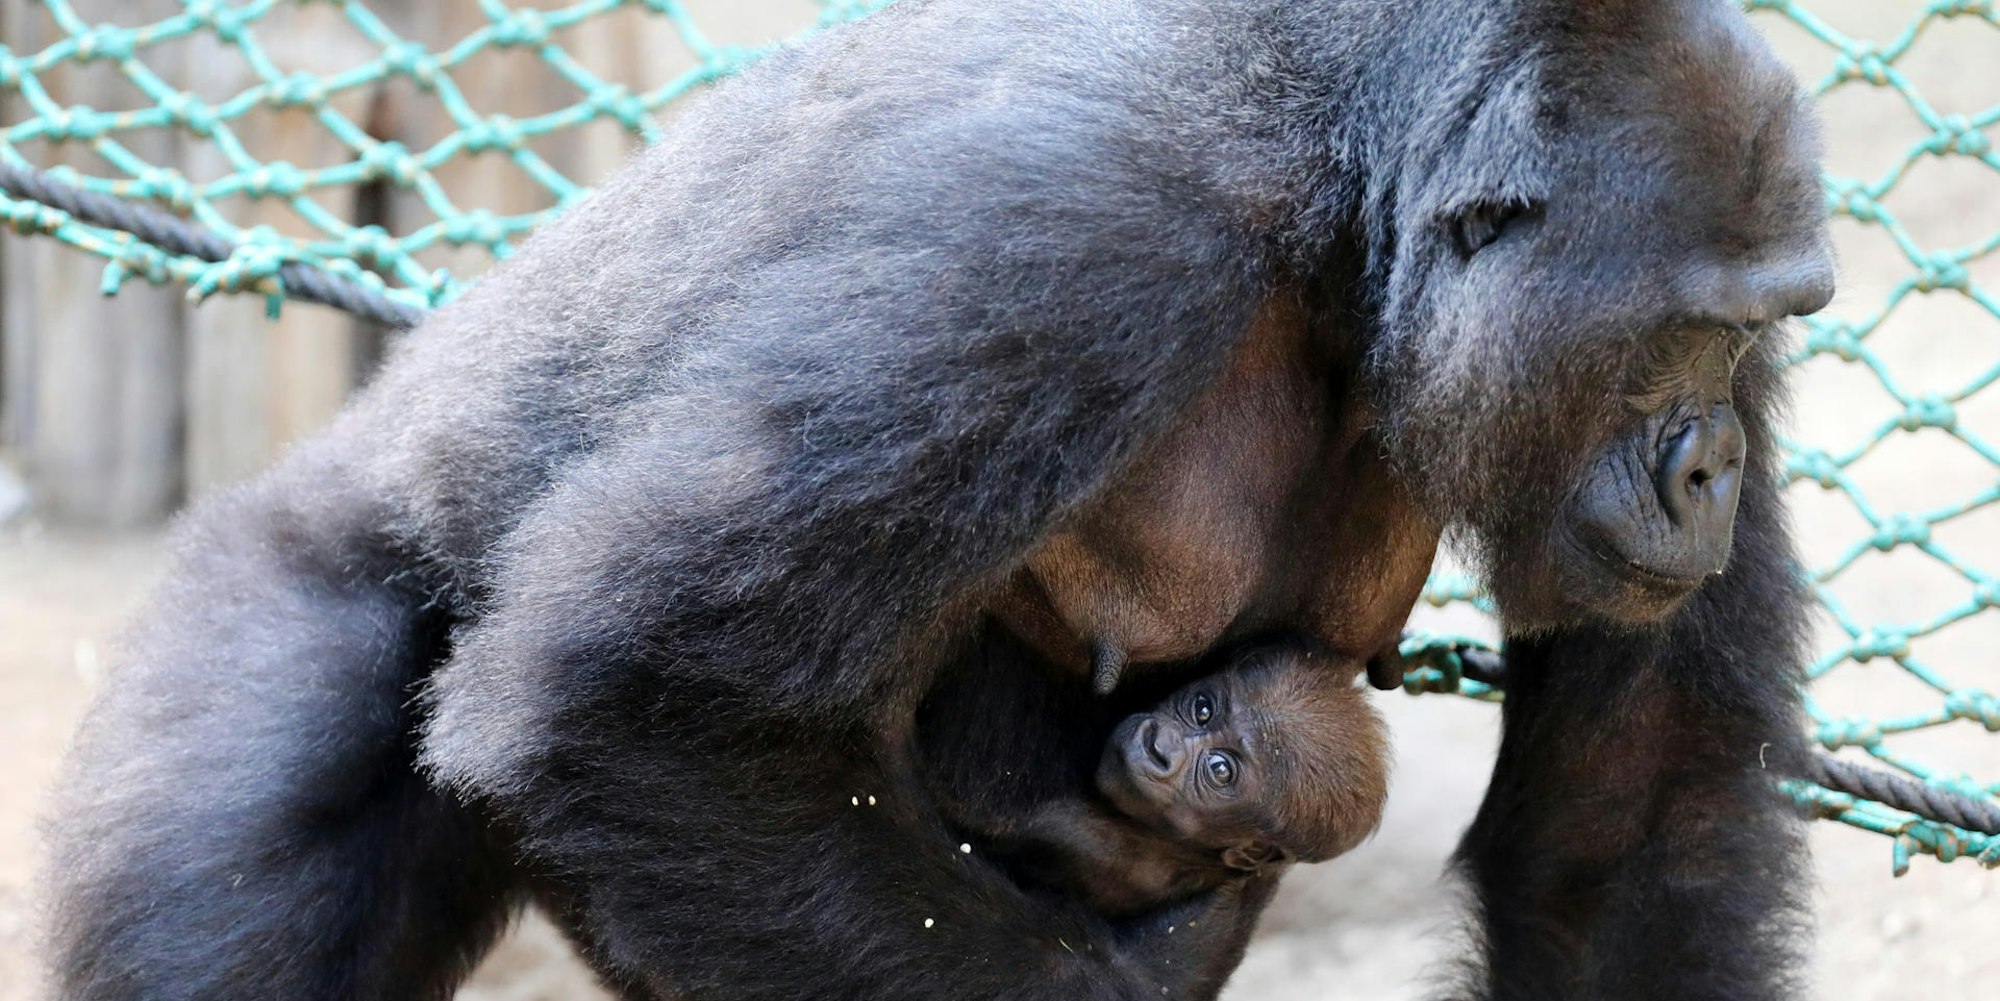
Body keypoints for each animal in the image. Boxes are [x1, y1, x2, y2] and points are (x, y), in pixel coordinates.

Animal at [44, 1, 1836, 1000]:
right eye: (1685, 331)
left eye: (1761, 334)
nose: (1710, 466)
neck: (1351, 159)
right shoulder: (1083, 238)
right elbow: (629, 696)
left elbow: (1630, 825)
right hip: (293, 582)